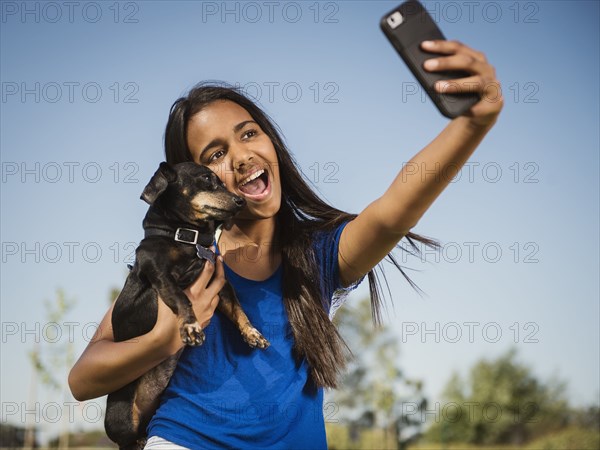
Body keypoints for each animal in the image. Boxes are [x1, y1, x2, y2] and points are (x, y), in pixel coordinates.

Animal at [105, 162, 270, 450]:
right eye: (207, 179)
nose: (240, 201)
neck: (186, 240)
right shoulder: (161, 276)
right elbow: (182, 299)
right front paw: (191, 327)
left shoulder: (221, 287)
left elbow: (239, 310)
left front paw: (252, 333)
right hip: (121, 419)